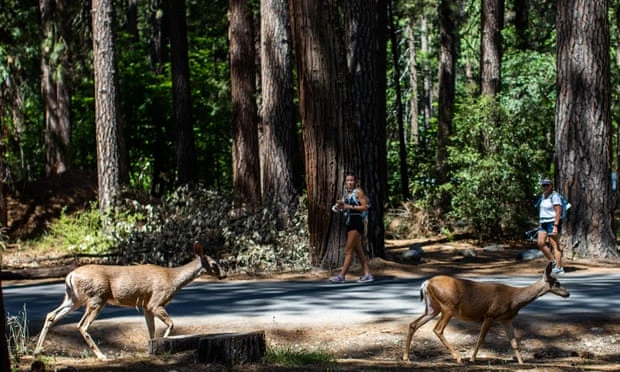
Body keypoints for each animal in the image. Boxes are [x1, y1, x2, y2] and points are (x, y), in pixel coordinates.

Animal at [32, 240, 225, 358]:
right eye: (214, 264)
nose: (224, 275)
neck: (173, 279)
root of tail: (70, 275)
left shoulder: (146, 306)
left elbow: (151, 331)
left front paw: (151, 349)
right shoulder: (156, 302)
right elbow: (171, 324)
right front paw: (165, 341)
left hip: (73, 298)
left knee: (51, 315)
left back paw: (37, 351)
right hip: (96, 297)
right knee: (82, 325)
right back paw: (102, 356)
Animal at [402, 264, 572, 364]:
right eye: (557, 283)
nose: (568, 293)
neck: (514, 299)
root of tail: (427, 283)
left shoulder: (506, 319)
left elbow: (514, 342)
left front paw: (522, 363)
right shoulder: (490, 314)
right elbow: (481, 338)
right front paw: (472, 358)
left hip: (432, 308)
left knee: (413, 324)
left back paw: (406, 357)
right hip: (447, 307)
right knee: (437, 329)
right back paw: (459, 358)